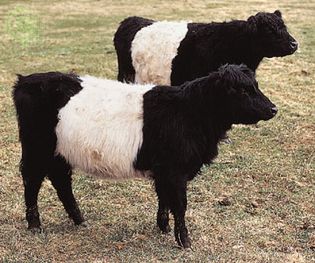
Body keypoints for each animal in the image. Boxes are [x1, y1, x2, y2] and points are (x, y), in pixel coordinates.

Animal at [13, 65, 278, 249]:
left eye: (256, 85)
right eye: (242, 90)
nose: (273, 108)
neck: (189, 111)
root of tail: (26, 80)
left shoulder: (164, 170)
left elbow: (164, 199)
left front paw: (163, 227)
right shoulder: (175, 170)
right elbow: (179, 204)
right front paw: (184, 241)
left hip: (59, 152)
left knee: (61, 181)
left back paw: (79, 219)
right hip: (37, 148)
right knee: (32, 181)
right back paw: (35, 225)